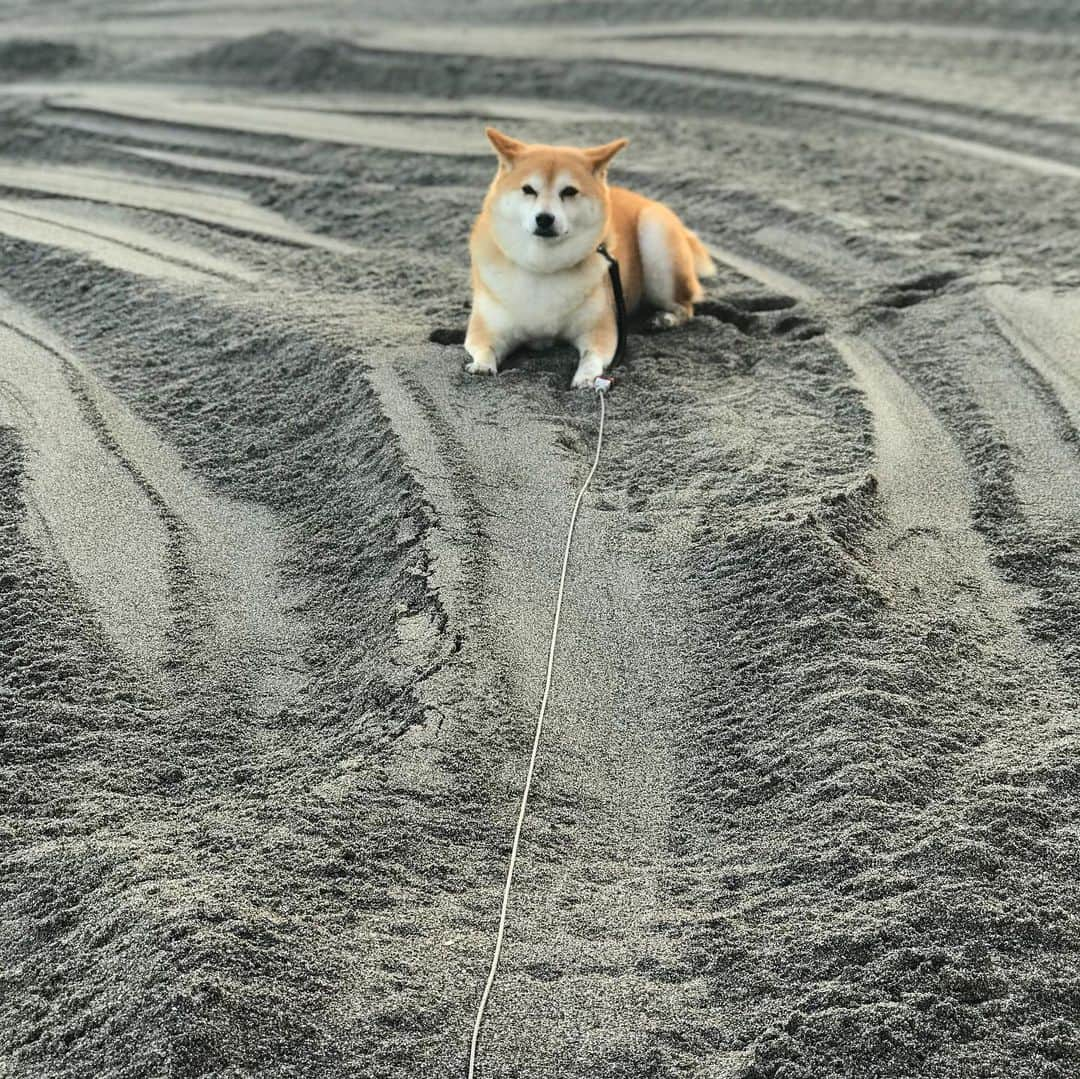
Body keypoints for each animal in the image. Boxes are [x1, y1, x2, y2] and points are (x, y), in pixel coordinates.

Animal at [466, 127, 712, 388]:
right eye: (528, 190)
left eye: (569, 191)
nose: (544, 218)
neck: (544, 267)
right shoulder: (487, 327)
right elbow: (484, 347)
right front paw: (481, 365)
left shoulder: (600, 329)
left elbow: (593, 354)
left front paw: (586, 376)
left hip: (655, 233)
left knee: (685, 305)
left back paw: (664, 319)